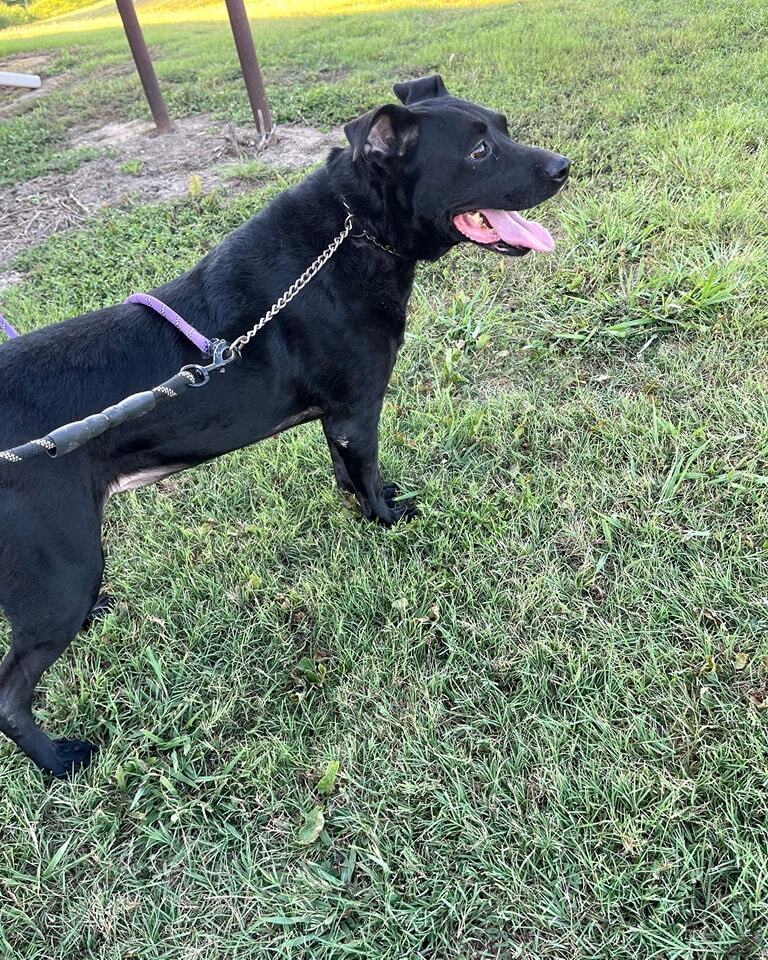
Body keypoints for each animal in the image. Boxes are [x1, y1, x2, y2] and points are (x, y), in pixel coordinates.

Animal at [0, 77, 564, 780]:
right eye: (480, 150)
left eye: (503, 128)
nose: (563, 167)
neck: (356, 230)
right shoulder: (359, 410)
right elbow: (367, 474)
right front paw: (387, 518)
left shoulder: (337, 417)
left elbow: (346, 473)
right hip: (63, 569)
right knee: (9, 695)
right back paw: (57, 758)